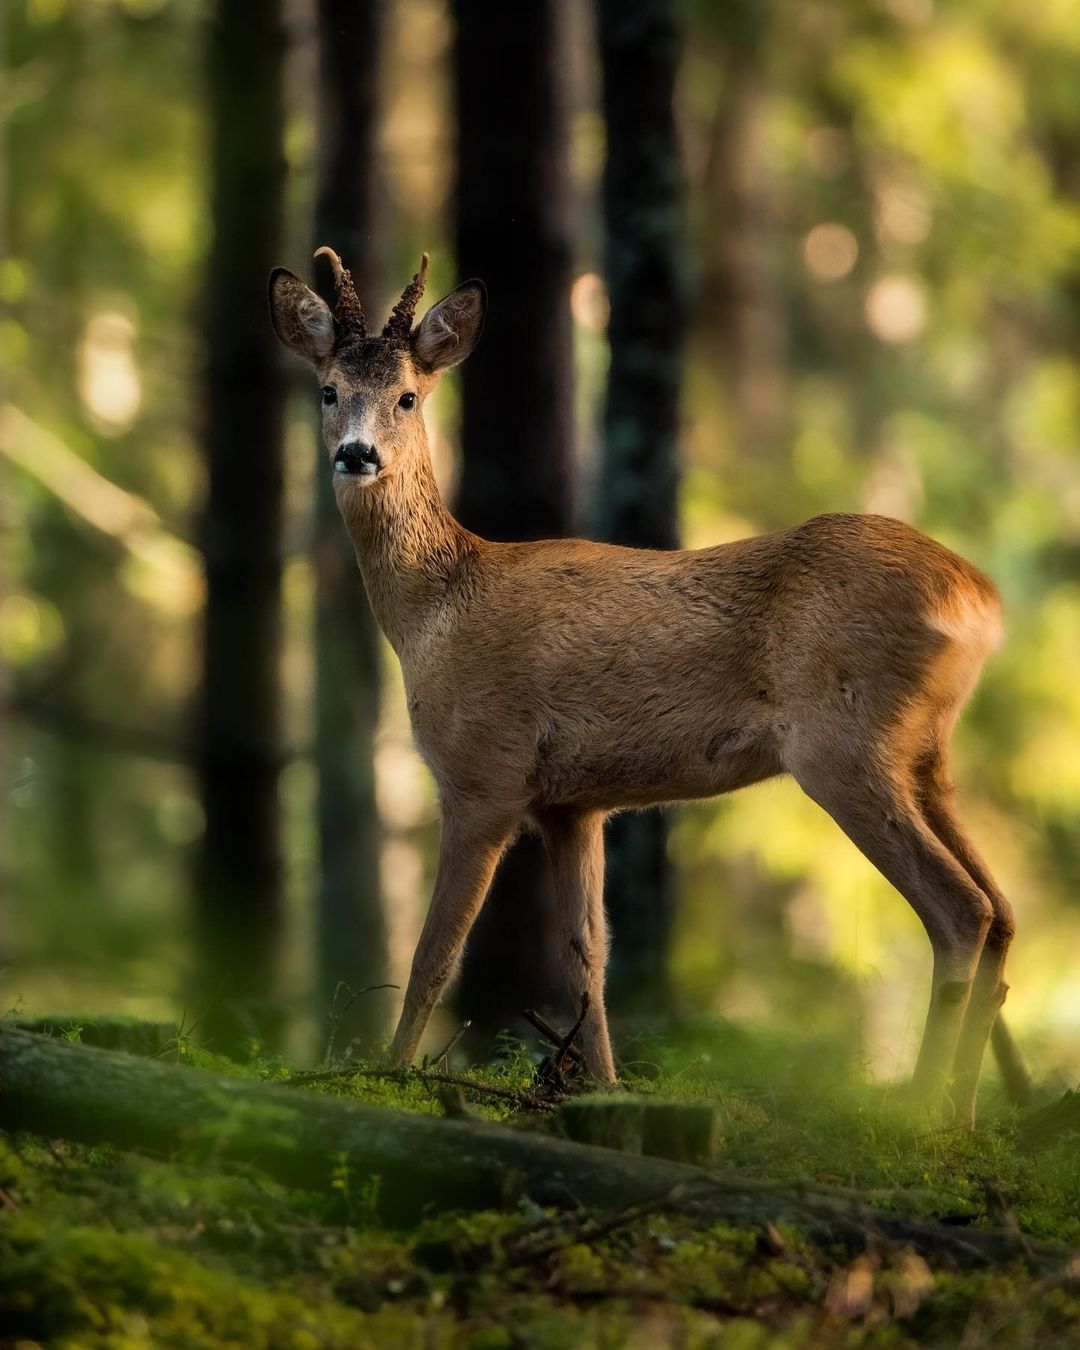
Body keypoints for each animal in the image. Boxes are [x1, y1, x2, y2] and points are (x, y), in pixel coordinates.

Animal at [272, 251, 1031, 1128]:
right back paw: (964, 1117)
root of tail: (979, 598)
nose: (358, 455)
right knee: (1002, 910)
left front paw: (390, 1077)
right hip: (926, 752)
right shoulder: (571, 804)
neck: (437, 609)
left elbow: (436, 949)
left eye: (407, 395)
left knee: (960, 910)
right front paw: (602, 1090)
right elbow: (586, 959)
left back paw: (913, 1112)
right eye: (328, 390)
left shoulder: (482, 771)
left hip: (845, 743)